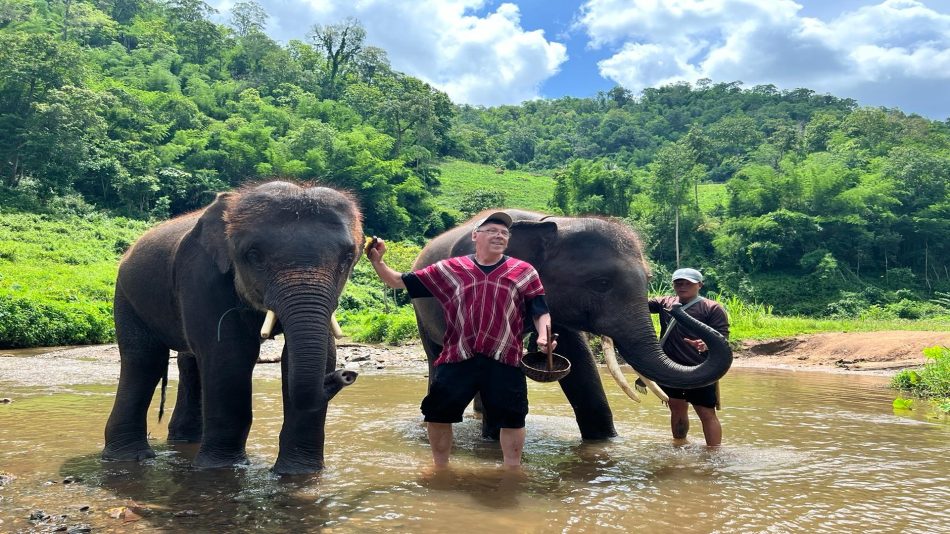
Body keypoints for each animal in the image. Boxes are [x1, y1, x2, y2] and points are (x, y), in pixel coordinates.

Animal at [102, 181, 363, 475]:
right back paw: (130, 457)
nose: (347, 374)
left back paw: (184, 441)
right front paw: (221, 468)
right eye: (253, 255)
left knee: (188, 361)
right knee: (144, 361)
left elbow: (319, 352)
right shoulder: (202, 275)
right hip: (126, 293)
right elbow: (230, 353)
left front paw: (299, 474)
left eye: (348, 257)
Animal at [411, 209, 732, 440]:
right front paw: (493, 442)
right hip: (420, 311)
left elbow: (577, 357)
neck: (553, 221)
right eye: (601, 284)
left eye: (649, 279)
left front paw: (605, 442)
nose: (673, 305)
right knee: (436, 359)